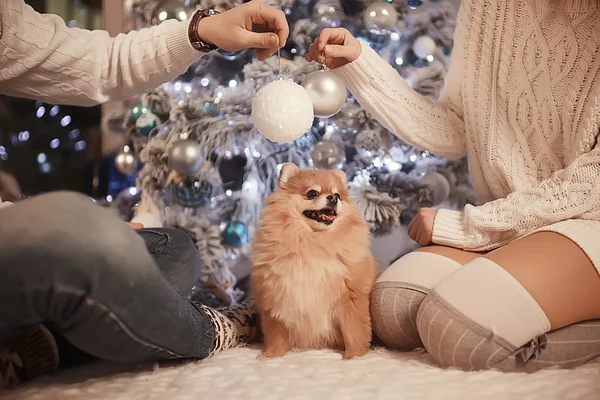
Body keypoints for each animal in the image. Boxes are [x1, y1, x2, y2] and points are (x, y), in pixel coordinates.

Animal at [251, 162, 378, 360]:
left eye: (338, 195)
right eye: (312, 193)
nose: (333, 198)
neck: (314, 243)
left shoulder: (351, 298)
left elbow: (354, 331)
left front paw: (354, 356)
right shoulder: (274, 299)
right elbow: (275, 334)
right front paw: (271, 356)